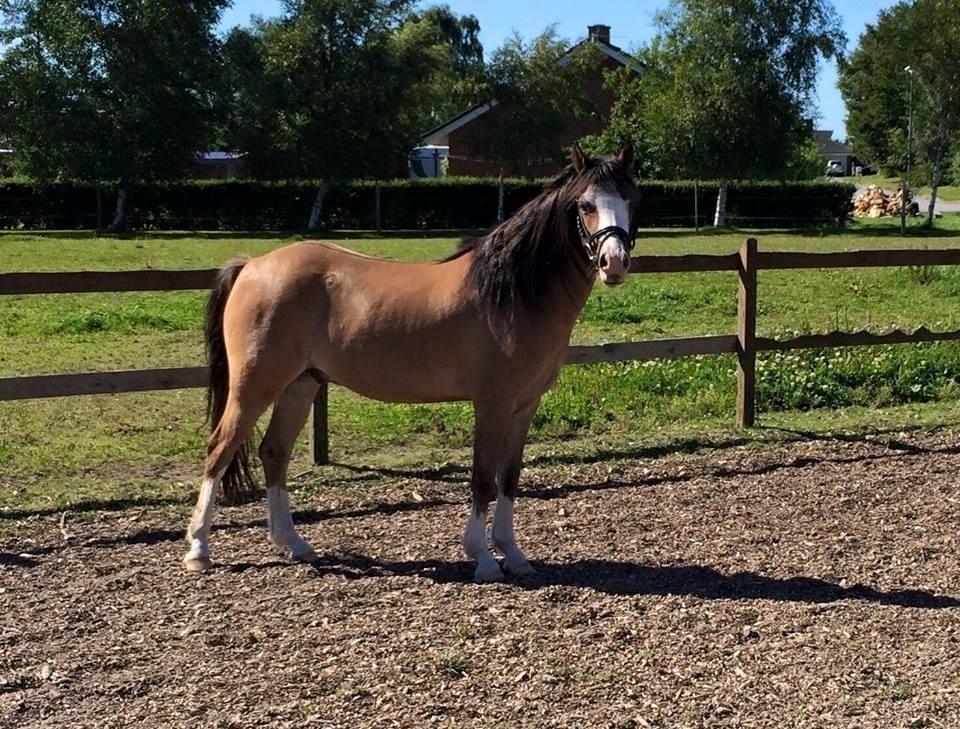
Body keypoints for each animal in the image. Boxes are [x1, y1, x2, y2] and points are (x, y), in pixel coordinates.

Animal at [184, 142, 640, 582]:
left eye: (632, 198)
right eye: (585, 204)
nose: (614, 263)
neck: (511, 294)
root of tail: (253, 266)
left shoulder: (524, 406)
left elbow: (508, 479)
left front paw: (514, 554)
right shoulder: (492, 404)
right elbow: (482, 479)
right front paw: (483, 559)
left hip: (302, 383)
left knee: (274, 452)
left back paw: (294, 545)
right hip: (255, 385)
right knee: (219, 449)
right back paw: (199, 551)